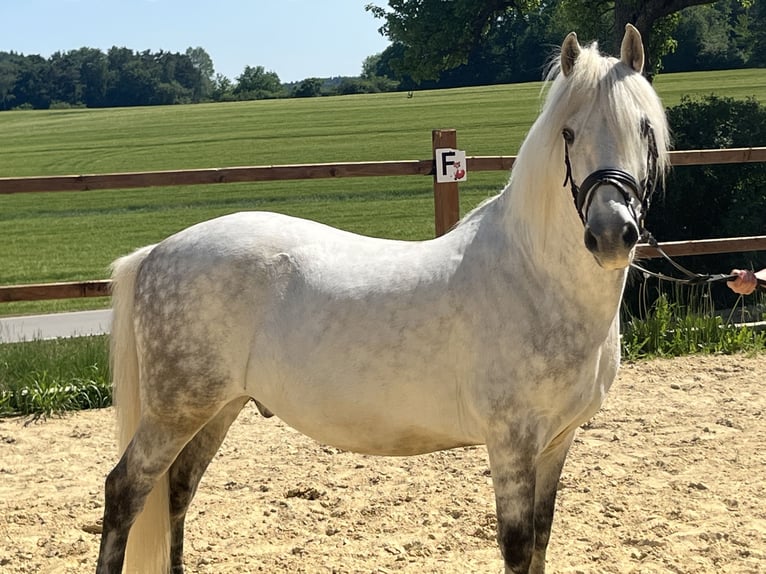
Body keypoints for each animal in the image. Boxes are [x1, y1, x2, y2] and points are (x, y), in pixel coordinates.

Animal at [96, 24, 669, 574]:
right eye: (568, 133)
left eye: (644, 128)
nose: (611, 235)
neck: (532, 275)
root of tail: (155, 252)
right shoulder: (512, 442)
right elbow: (516, 546)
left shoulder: (556, 443)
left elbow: (542, 542)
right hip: (175, 412)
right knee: (126, 490)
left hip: (218, 407)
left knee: (177, 490)